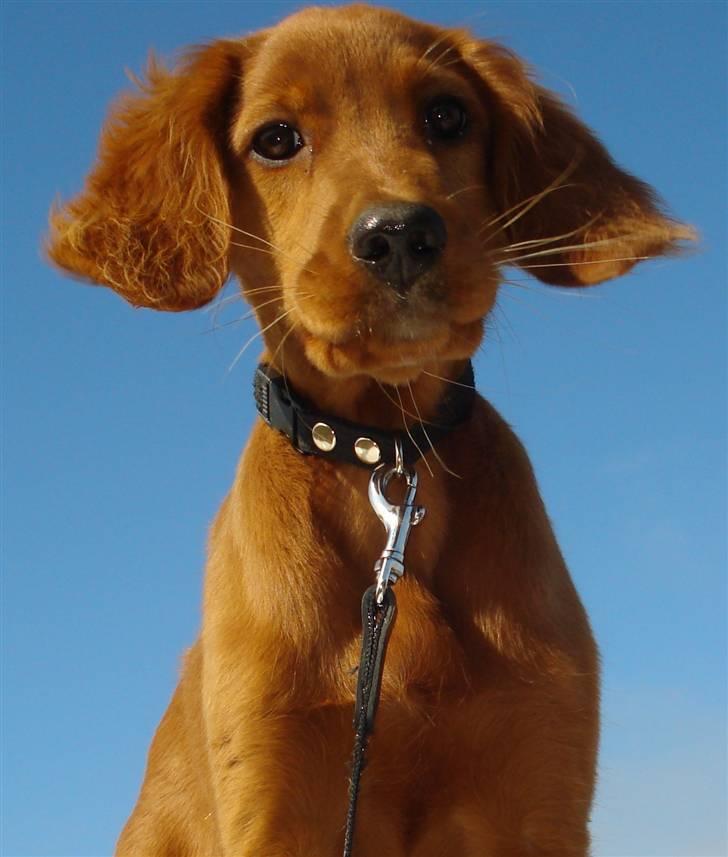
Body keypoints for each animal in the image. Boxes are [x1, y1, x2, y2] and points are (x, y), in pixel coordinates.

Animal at [47, 3, 692, 852]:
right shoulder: (274, 792)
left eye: (447, 116)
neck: (383, 451)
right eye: (277, 138)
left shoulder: (539, 788)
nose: (399, 236)